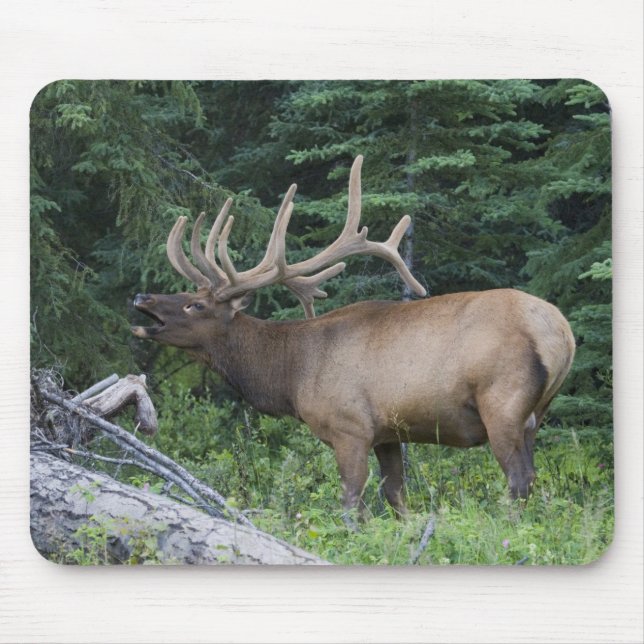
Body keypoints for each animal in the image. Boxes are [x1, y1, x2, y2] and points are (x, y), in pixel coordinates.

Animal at [131, 155, 575, 523]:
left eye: (195, 305)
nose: (141, 297)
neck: (292, 375)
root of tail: (562, 333)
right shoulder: (388, 434)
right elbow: (395, 497)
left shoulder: (350, 427)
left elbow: (350, 505)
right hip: (537, 412)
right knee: (533, 477)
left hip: (502, 400)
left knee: (519, 479)